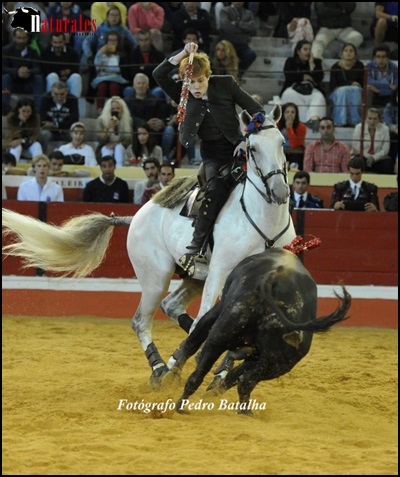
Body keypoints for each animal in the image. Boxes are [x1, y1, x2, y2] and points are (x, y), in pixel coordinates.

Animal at [2, 105, 296, 388]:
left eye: (282, 142)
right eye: (252, 148)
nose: (280, 191)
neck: (263, 220)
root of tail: (136, 216)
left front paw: (221, 372)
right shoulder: (220, 273)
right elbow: (211, 319)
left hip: (193, 278)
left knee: (173, 307)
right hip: (156, 277)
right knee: (142, 321)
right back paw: (161, 370)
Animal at [162, 248, 351, 415]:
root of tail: (274, 278)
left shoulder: (218, 310)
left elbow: (193, 342)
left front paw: (171, 375)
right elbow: (234, 374)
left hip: (221, 336)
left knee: (200, 374)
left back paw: (181, 404)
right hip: (280, 361)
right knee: (245, 380)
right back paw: (240, 409)